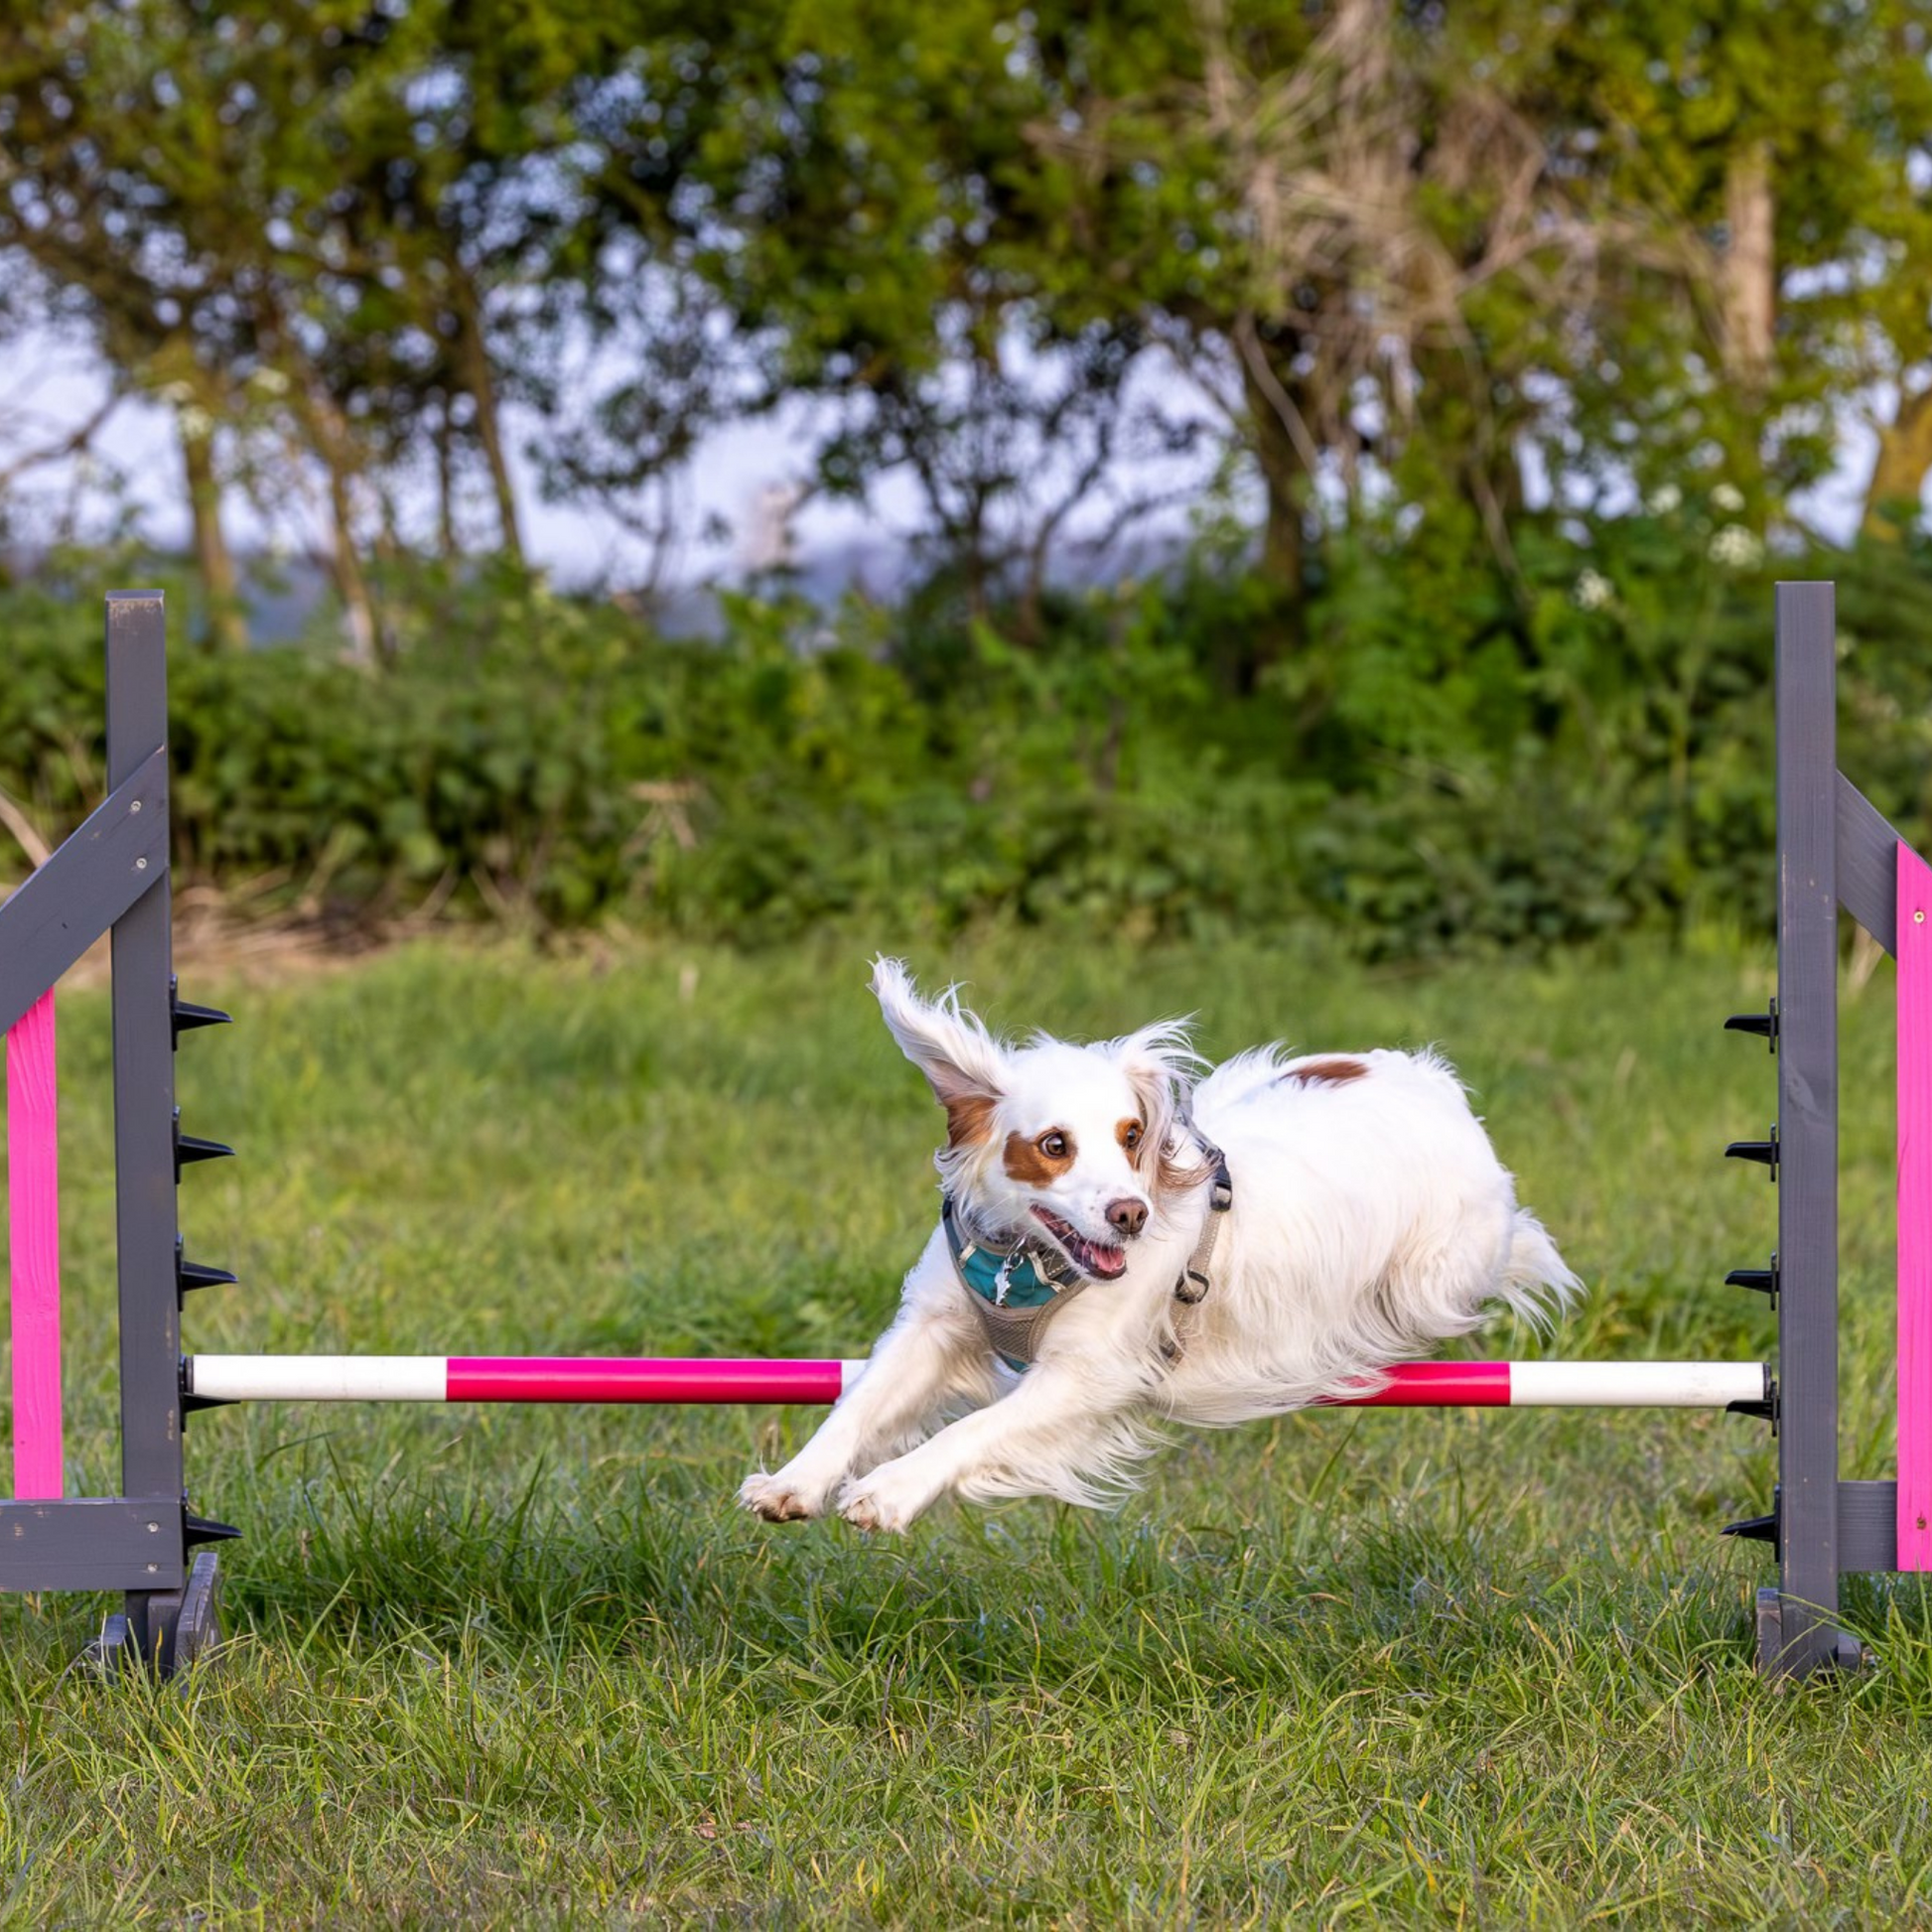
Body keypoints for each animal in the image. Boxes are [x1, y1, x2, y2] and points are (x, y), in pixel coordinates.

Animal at [730, 958, 1576, 1530]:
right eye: (1055, 1145)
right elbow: (858, 1404)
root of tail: (1430, 1081)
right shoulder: (933, 1325)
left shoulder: (1089, 1376)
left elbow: (973, 1428)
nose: (1132, 1212)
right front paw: (794, 1482)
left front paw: (890, 1490)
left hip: (1441, 1270)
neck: (1026, 1264)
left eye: (1132, 1135)